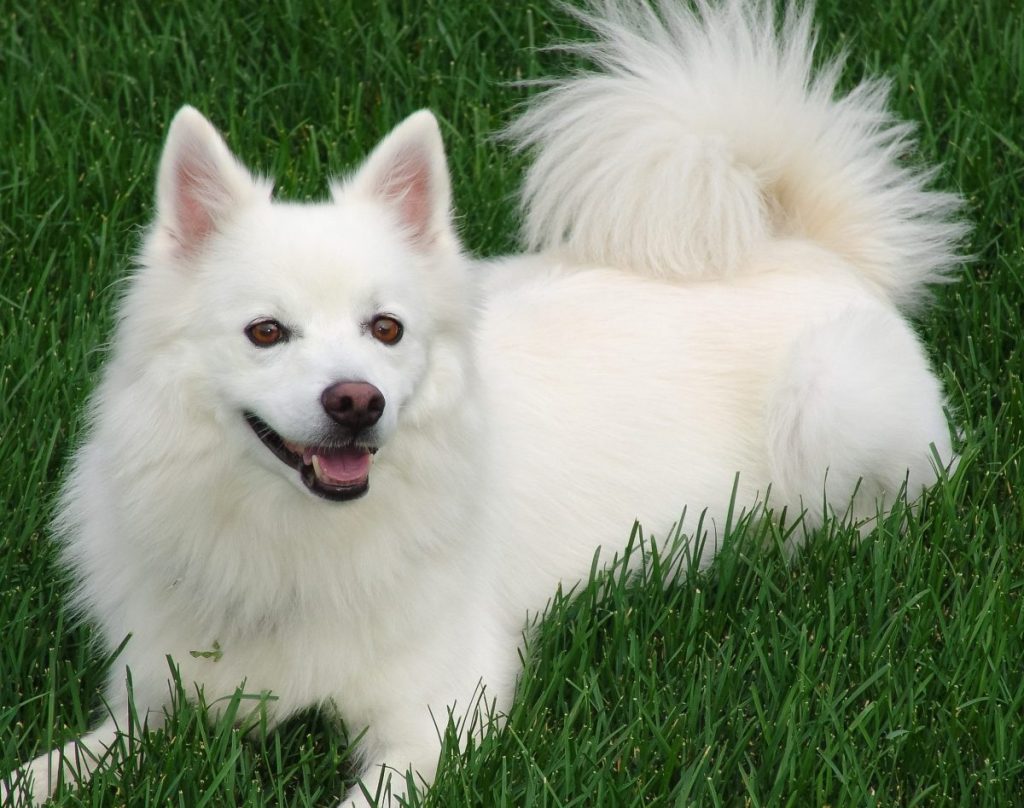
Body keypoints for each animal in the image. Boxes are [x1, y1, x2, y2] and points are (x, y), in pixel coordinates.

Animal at [4, 0, 958, 802]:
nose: (356, 402)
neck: (294, 543)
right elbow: (53, 767)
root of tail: (811, 248)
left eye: (386, 329)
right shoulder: (154, 702)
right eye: (266, 333)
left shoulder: (437, 714)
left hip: (833, 400)